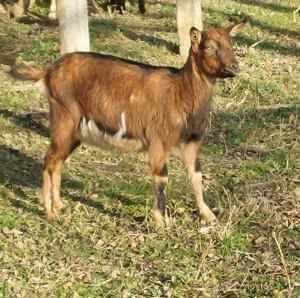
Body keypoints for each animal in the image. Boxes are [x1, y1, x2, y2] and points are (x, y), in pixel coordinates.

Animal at [12, 21, 245, 226]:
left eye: (230, 44)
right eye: (210, 47)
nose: (235, 66)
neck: (181, 92)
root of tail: (48, 72)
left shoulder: (192, 142)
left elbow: (196, 177)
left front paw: (208, 216)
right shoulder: (158, 141)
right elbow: (161, 179)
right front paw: (160, 222)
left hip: (75, 131)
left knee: (57, 161)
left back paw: (59, 205)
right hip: (64, 118)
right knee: (49, 159)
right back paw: (49, 212)